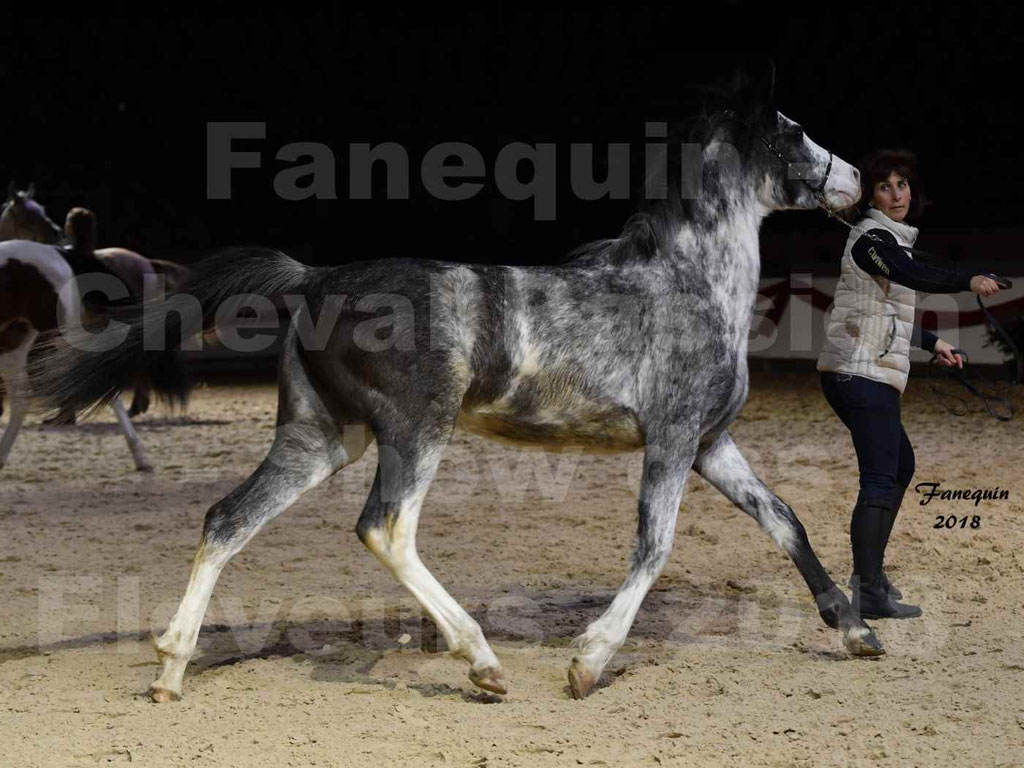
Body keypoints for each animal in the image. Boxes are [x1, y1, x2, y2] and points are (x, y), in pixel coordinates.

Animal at [36, 71, 883, 704]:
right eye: (796, 131)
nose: (858, 181)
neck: (691, 282)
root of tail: (316, 277)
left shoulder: (713, 444)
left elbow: (784, 521)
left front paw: (857, 632)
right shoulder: (673, 439)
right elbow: (655, 546)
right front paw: (587, 663)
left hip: (321, 438)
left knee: (227, 520)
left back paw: (172, 669)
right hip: (417, 430)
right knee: (385, 528)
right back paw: (480, 662)